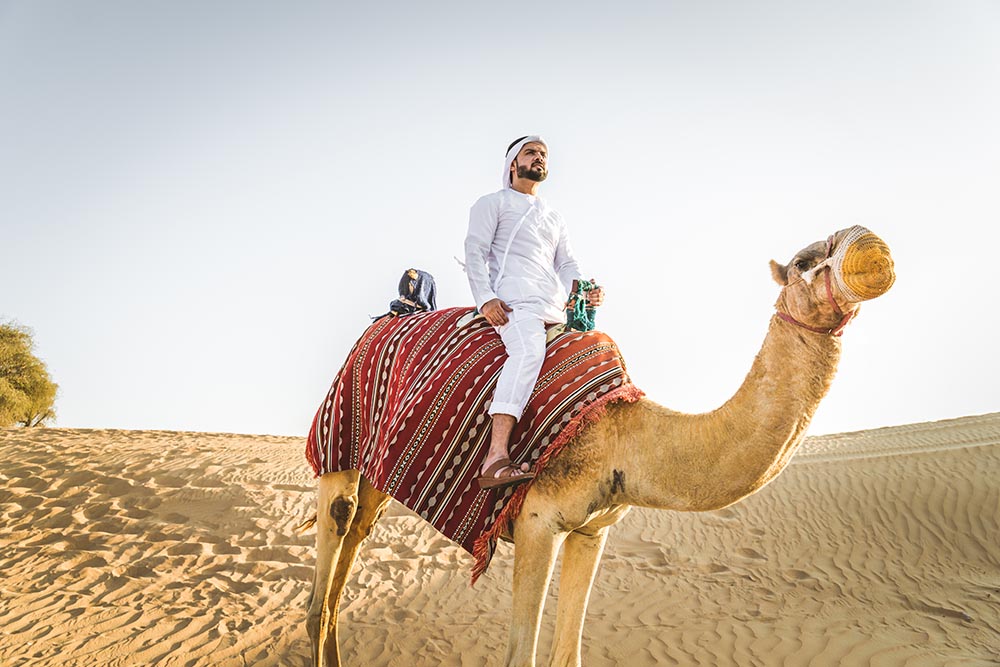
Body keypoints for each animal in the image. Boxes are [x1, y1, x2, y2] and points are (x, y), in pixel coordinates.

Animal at [304, 227, 900, 664]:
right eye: (803, 260)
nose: (871, 245)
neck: (626, 436)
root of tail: (389, 317)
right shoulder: (538, 521)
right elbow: (521, 657)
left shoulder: (592, 532)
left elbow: (567, 655)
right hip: (340, 438)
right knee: (331, 551)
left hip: (381, 469)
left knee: (349, 555)